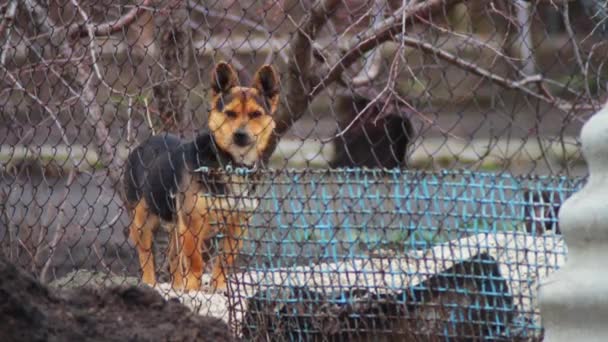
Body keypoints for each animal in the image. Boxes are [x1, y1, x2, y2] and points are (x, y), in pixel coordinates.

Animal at [123, 61, 280, 292]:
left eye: (255, 114)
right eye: (230, 113)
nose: (240, 135)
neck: (231, 163)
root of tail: (142, 145)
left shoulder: (237, 225)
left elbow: (224, 261)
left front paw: (218, 287)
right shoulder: (192, 222)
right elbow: (195, 261)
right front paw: (193, 288)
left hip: (174, 225)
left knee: (173, 257)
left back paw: (177, 287)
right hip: (143, 221)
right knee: (146, 256)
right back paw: (150, 284)